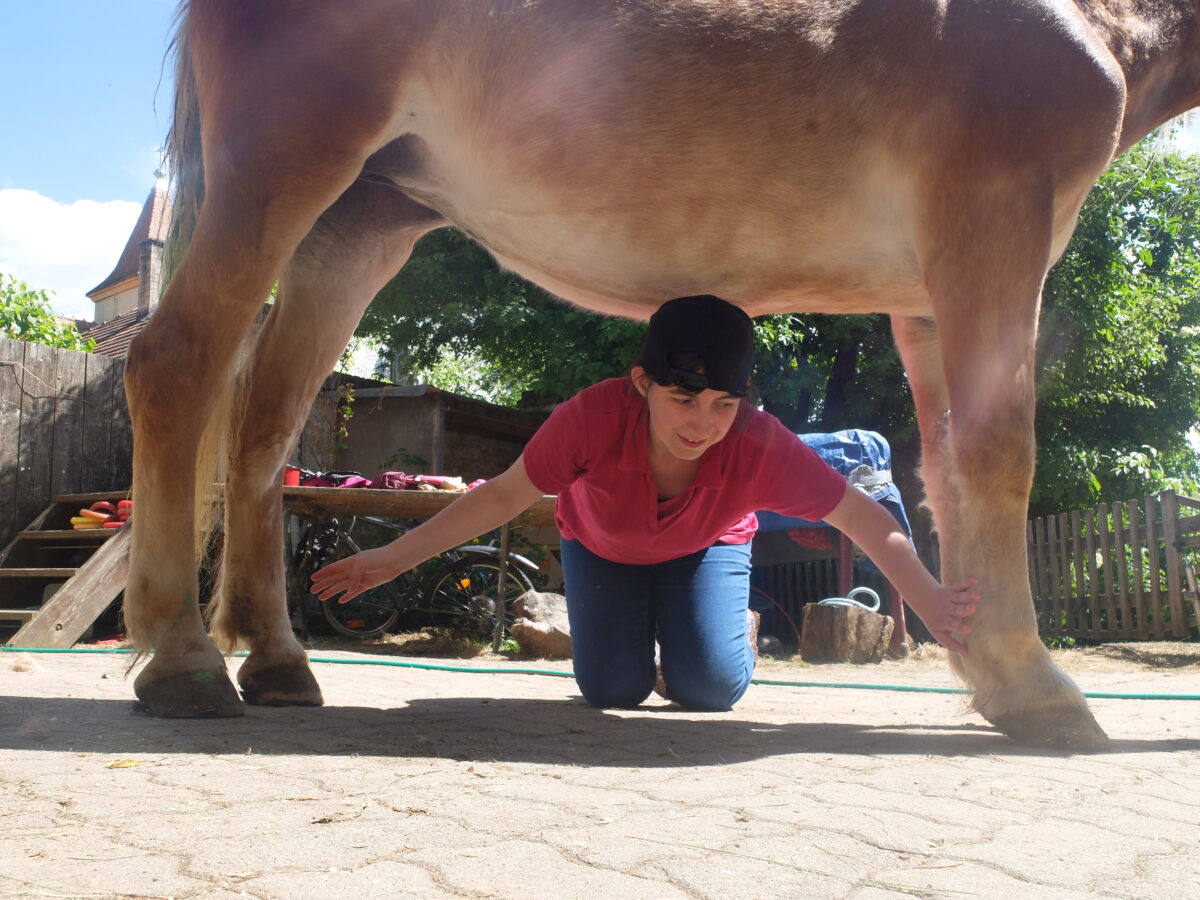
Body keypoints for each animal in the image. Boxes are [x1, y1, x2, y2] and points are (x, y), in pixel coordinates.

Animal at [124, 0, 1200, 748]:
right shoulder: (992, 232)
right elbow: (999, 454)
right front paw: (1039, 690)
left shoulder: (928, 297)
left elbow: (944, 468)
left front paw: (987, 671)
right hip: (282, 164)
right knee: (176, 363)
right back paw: (182, 662)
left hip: (356, 224)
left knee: (265, 421)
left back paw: (275, 661)